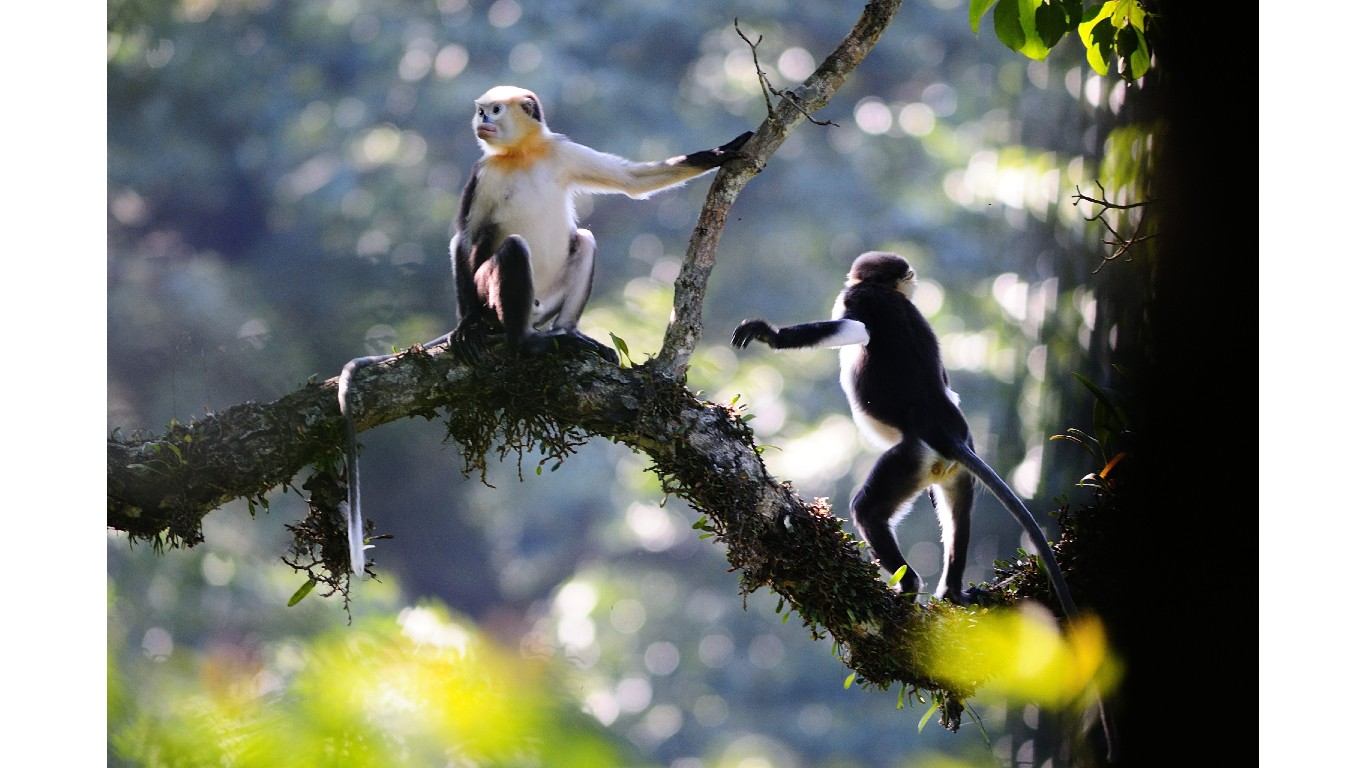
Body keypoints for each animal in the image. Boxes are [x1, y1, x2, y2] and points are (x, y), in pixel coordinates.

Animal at [336, 83, 754, 573]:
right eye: (482, 111)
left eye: (494, 110)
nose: (482, 121)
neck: (521, 155)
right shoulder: (483, 173)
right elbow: (463, 237)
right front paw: (464, 327)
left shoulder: (560, 150)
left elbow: (631, 181)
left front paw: (721, 152)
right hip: (498, 296)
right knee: (510, 248)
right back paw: (515, 339)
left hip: (548, 299)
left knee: (584, 239)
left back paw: (569, 335)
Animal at [732, 254, 1070, 612]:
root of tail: (943, 429)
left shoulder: (860, 298)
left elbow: (853, 327)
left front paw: (771, 335)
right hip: (952, 466)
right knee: (958, 512)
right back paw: (952, 591)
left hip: (910, 457)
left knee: (867, 511)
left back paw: (909, 584)